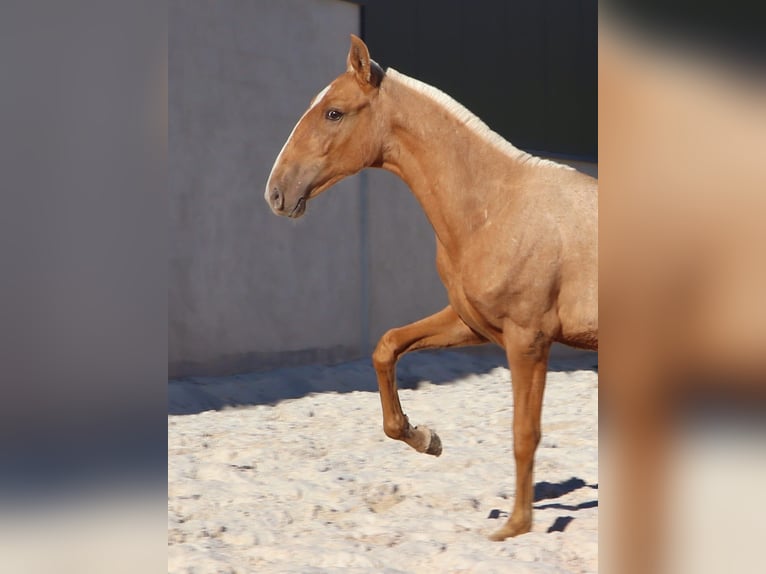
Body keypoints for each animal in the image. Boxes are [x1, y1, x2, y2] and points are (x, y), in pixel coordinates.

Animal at [266, 37, 600, 544]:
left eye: (334, 113)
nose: (276, 192)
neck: (495, 208)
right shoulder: (471, 323)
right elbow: (387, 347)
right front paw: (425, 438)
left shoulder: (528, 340)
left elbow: (525, 432)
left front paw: (515, 527)